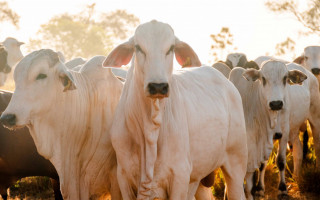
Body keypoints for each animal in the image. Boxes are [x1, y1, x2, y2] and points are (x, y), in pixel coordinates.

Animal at [102, 19, 248, 200]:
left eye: (171, 48)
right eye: (138, 47)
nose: (158, 86)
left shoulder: (180, 175)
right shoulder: (123, 177)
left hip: (236, 165)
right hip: (198, 180)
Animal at [229, 61, 320, 199]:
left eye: (285, 78)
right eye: (263, 79)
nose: (276, 103)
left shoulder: (284, 133)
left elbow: (281, 161)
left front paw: (282, 189)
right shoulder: (264, 137)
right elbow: (262, 163)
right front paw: (260, 189)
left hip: (314, 119)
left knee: (317, 146)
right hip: (293, 130)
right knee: (298, 150)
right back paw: (296, 176)